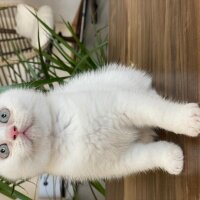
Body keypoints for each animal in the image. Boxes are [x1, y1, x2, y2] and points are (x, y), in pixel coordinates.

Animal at [0, 64, 200, 181]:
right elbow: (145, 157)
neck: (57, 134)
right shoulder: (116, 162)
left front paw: (187, 120)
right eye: (3, 150)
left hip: (120, 77)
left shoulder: (122, 103)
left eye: (3, 115)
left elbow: (157, 111)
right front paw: (171, 158)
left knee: (149, 95)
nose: (14, 132)